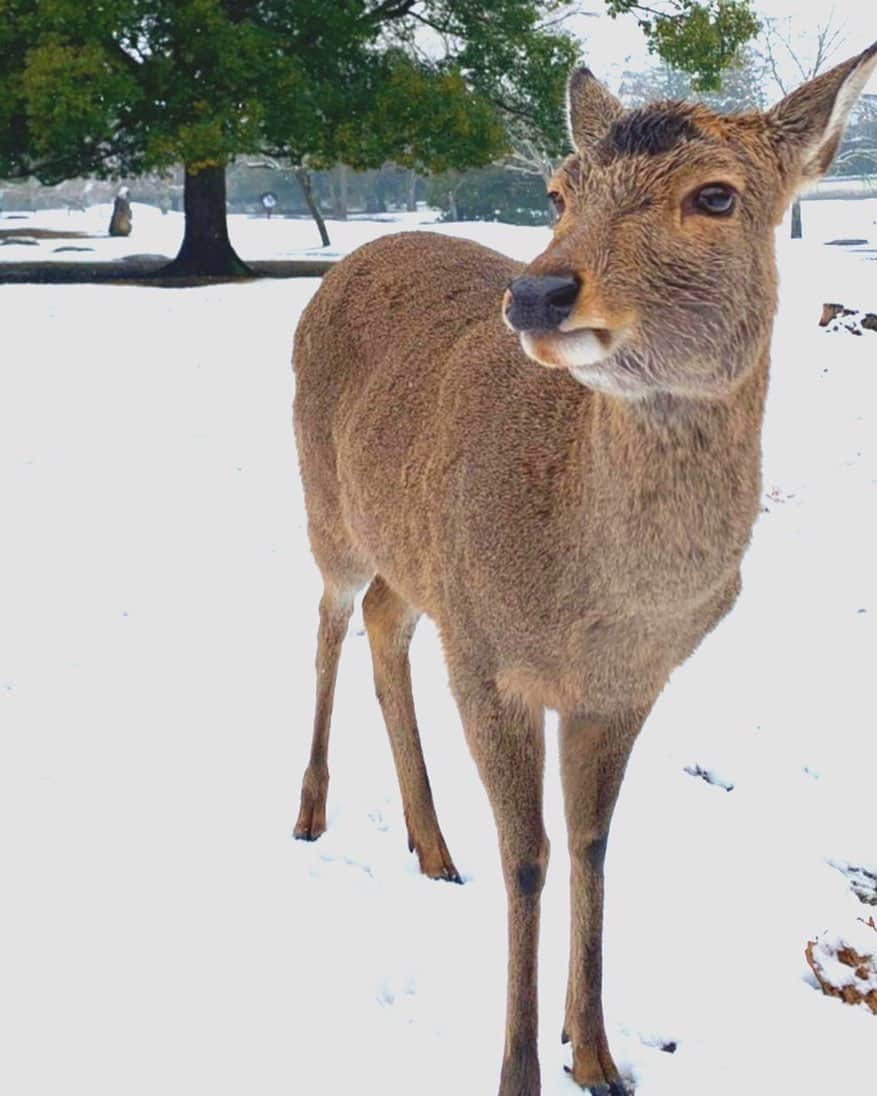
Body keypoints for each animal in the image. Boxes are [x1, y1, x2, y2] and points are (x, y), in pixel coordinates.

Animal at [291, 42, 872, 1096]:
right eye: (557, 191)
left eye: (715, 195)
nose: (534, 294)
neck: (601, 609)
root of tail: (347, 261)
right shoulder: (487, 658)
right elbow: (528, 854)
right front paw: (520, 1068)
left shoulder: (627, 684)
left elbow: (594, 845)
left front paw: (594, 1051)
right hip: (326, 504)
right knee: (326, 616)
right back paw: (309, 816)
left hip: (414, 553)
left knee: (386, 620)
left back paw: (431, 846)